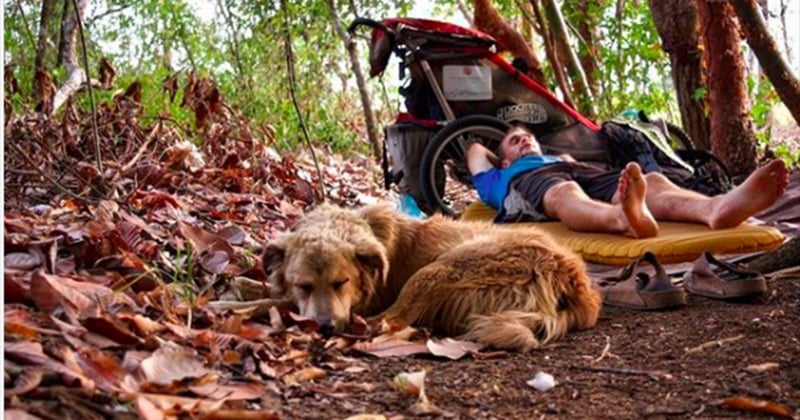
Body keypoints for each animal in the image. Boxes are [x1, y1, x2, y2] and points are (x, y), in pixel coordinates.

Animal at [262, 203, 600, 352]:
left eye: (341, 283)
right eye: (304, 286)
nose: (325, 327)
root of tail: (570, 275)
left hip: (439, 270)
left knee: (389, 321)